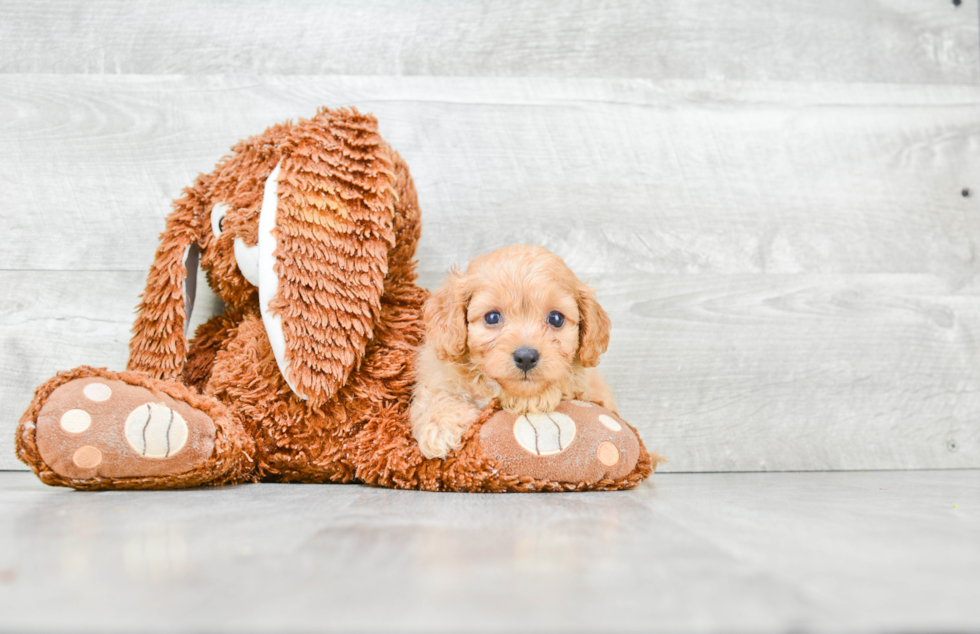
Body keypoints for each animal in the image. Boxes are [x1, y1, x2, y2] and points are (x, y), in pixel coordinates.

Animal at [412, 241, 612, 454]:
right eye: (492, 317)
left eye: (556, 318)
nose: (526, 357)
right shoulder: (438, 374)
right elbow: (434, 395)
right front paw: (440, 426)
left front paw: (534, 398)